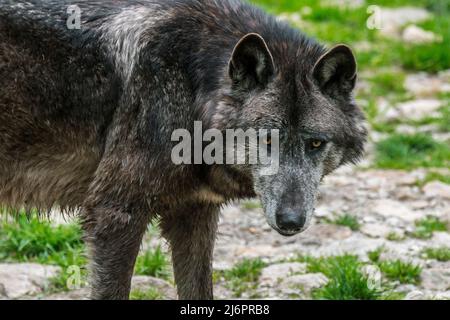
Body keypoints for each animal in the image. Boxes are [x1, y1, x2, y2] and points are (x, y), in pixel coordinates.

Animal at [0, 0, 366, 300]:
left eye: (315, 143)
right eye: (266, 139)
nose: (291, 221)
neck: (191, 90)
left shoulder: (195, 215)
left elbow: (200, 290)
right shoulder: (114, 214)